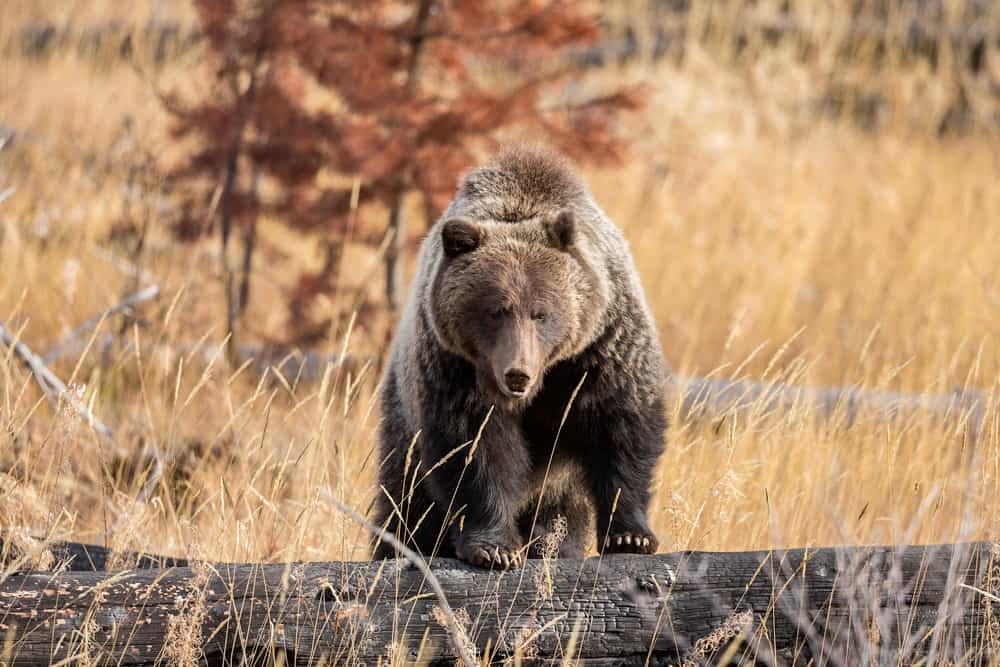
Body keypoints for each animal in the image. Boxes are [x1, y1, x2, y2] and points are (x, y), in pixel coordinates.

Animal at [372, 146, 668, 568]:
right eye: (495, 310)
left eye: (540, 312)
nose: (517, 375)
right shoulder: (457, 367)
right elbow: (475, 448)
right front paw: (496, 548)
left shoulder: (603, 349)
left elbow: (623, 430)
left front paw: (630, 536)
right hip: (403, 418)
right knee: (408, 499)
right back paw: (400, 546)